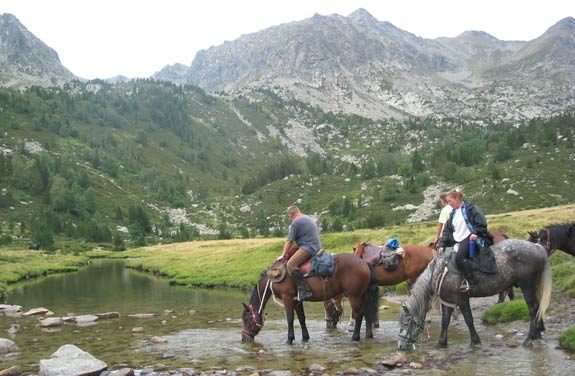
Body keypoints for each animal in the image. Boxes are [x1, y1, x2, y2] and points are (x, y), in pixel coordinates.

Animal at [241, 253, 380, 344]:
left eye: (247, 319)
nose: (244, 339)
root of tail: (364, 262)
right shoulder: (297, 300)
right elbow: (302, 318)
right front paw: (305, 337)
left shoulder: (287, 299)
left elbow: (290, 319)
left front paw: (289, 339)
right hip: (363, 295)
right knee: (367, 312)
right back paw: (368, 335)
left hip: (354, 296)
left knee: (359, 314)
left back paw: (355, 337)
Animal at [400, 239, 552, 352]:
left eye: (406, 323)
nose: (401, 345)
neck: (440, 272)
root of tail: (537, 247)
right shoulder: (447, 301)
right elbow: (445, 321)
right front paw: (441, 343)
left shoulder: (461, 300)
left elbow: (468, 319)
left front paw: (475, 342)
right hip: (534, 286)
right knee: (538, 307)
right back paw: (537, 334)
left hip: (527, 285)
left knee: (532, 308)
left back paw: (529, 338)